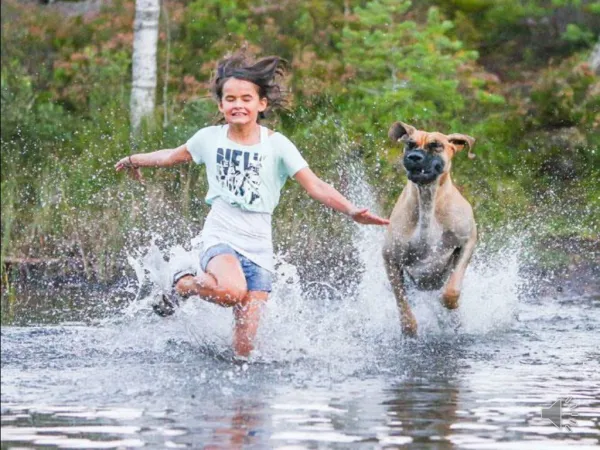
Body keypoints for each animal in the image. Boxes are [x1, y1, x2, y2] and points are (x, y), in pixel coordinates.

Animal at [384, 121, 478, 336]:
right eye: (410, 144)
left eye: (435, 145)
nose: (414, 157)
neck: (428, 199)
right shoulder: (390, 258)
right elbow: (401, 302)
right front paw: (409, 327)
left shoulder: (468, 240)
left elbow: (452, 289)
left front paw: (449, 302)